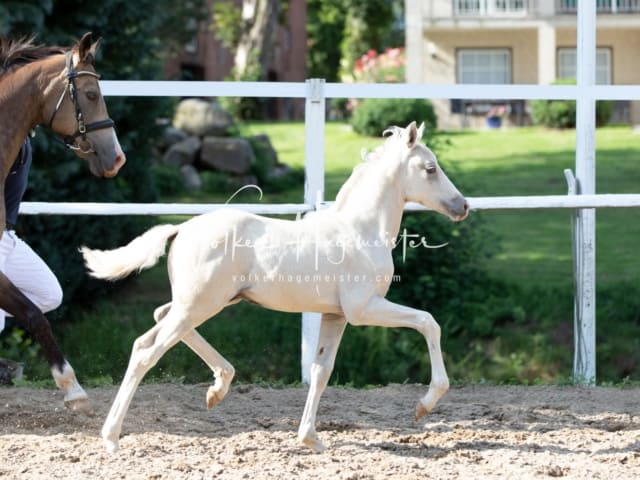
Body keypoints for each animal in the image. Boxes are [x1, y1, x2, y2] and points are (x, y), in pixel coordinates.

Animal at [82, 122, 468, 452]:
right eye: (430, 169)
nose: (462, 205)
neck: (360, 231)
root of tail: (181, 229)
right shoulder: (363, 309)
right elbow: (428, 322)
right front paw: (424, 405)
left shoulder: (336, 316)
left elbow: (320, 371)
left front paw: (310, 438)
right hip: (200, 304)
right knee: (147, 352)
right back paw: (111, 438)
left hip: (204, 303)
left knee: (153, 325)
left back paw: (218, 387)